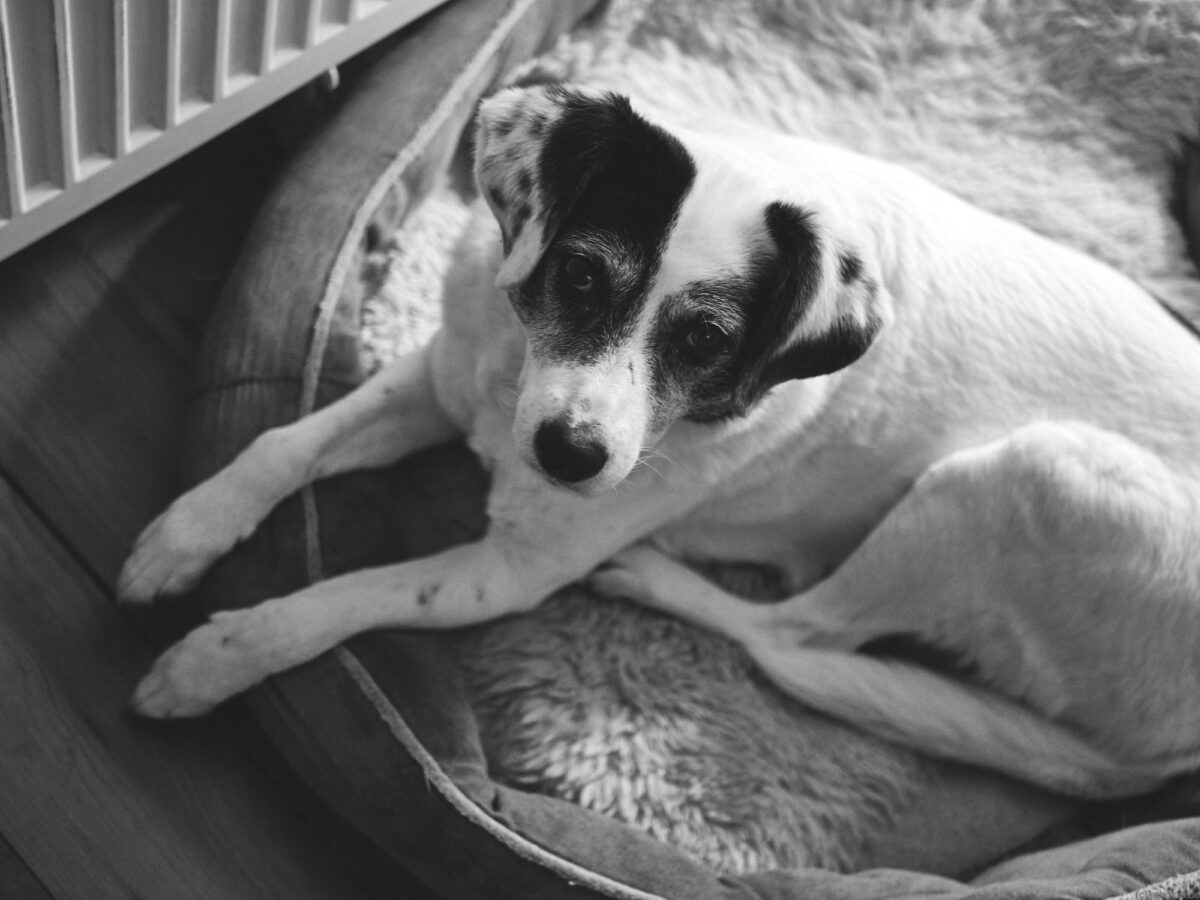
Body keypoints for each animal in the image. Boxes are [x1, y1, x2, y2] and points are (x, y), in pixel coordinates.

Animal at [117, 84, 1200, 801]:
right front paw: (183, 535)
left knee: (794, 632)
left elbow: (338, 599)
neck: (511, 381)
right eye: (583, 276)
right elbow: (280, 444)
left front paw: (214, 660)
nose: (571, 456)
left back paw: (650, 576)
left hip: (1033, 474)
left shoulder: (503, 576)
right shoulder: (439, 376)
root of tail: (1163, 763)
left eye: (707, 341)